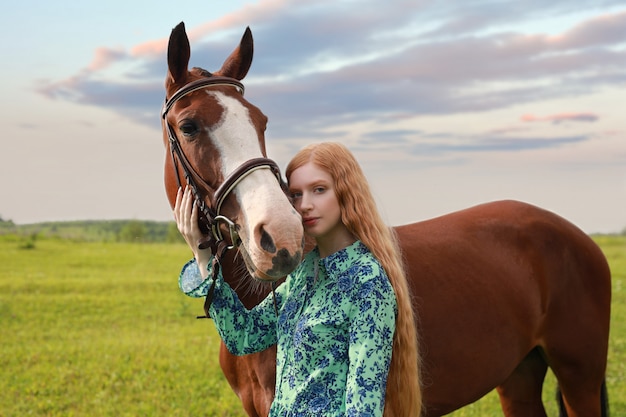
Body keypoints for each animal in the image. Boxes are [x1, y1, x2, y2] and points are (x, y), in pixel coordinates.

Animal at [161, 22, 608, 416]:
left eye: (261, 121)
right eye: (189, 126)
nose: (281, 238)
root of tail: (576, 236)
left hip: (579, 377)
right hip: (518, 374)